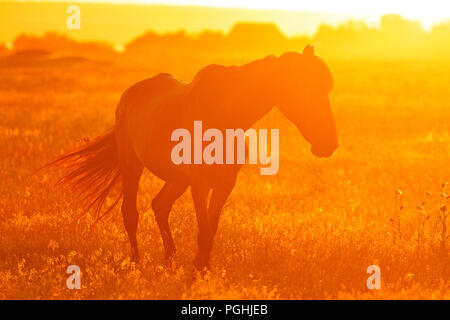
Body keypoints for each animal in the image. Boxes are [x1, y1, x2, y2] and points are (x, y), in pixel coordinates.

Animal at [48, 45, 338, 270]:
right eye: (304, 89)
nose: (329, 144)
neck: (225, 116)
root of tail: (129, 95)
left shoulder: (225, 183)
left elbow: (211, 229)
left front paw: (202, 267)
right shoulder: (200, 183)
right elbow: (204, 231)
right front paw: (198, 271)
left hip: (177, 179)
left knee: (160, 206)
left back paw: (169, 259)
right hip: (133, 165)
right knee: (131, 213)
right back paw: (137, 264)